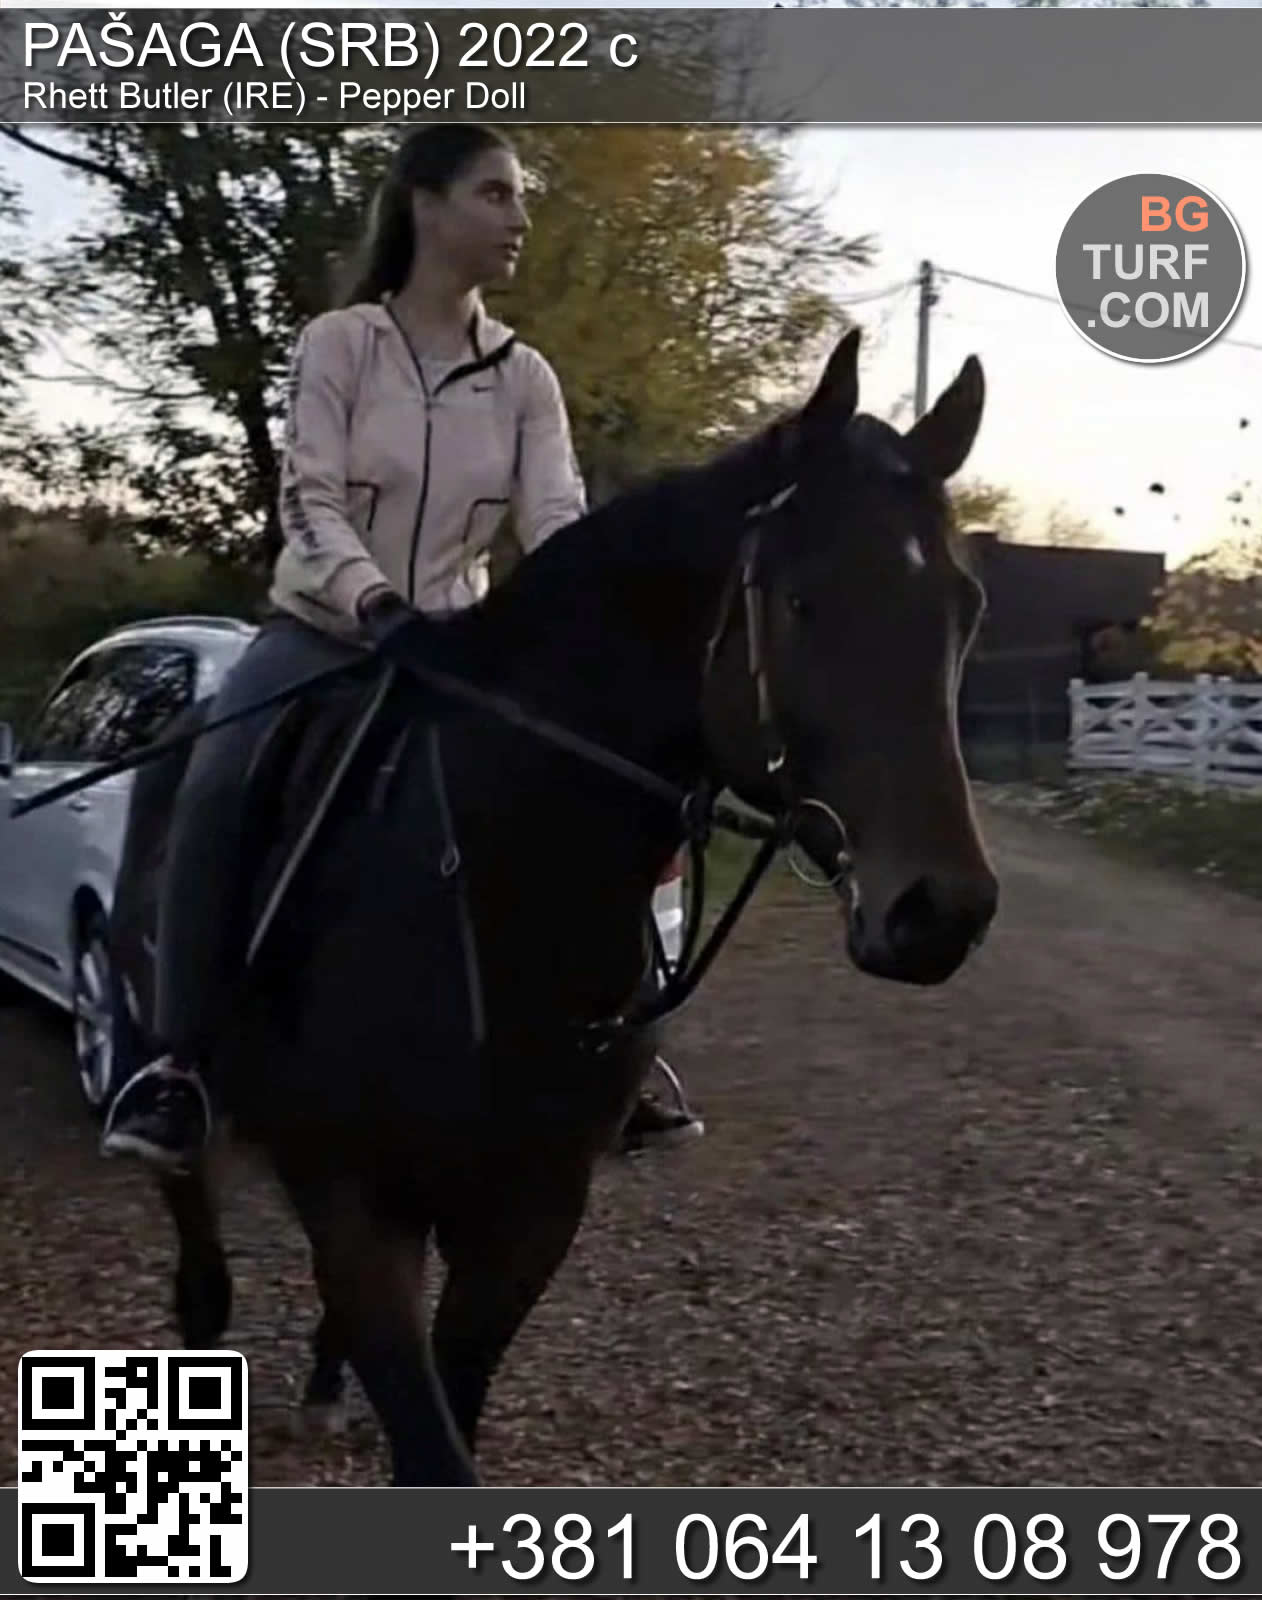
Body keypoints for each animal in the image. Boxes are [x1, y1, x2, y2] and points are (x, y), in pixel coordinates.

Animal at [106, 326, 999, 1485]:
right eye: (804, 601)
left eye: (965, 609)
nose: (940, 909)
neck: (498, 890)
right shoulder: (354, 1200)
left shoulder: (526, 1220)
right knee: (194, 1224)